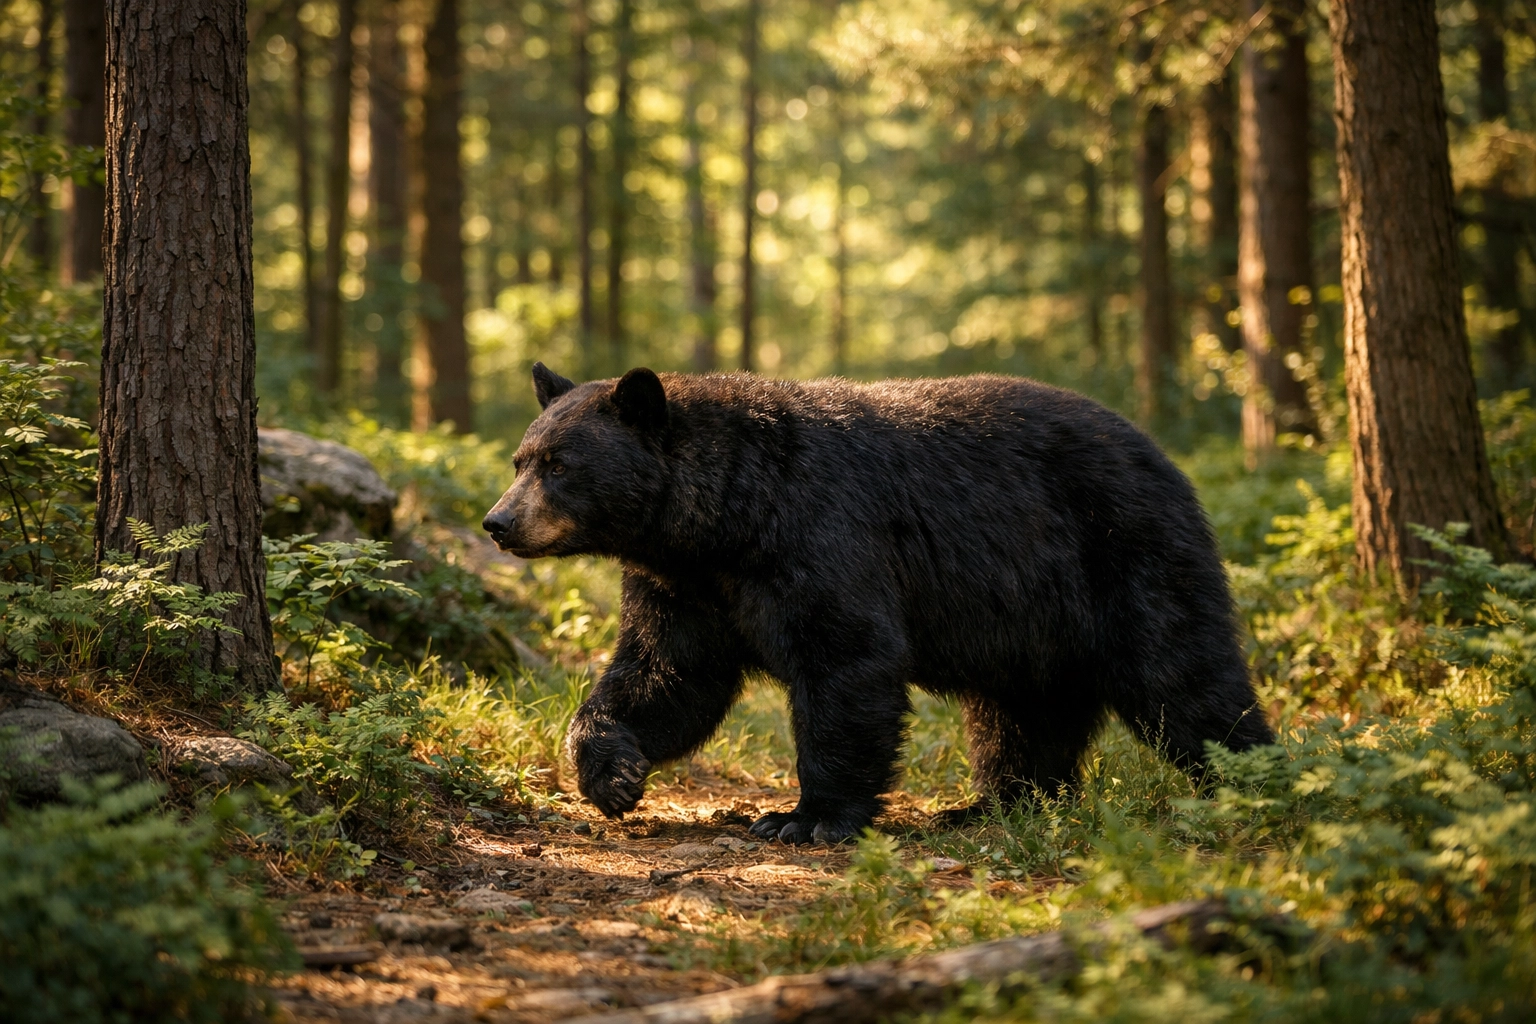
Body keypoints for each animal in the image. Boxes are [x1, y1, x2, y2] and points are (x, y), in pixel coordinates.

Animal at [482, 363, 1274, 845]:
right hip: (1035, 620)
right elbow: (666, 674)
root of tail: (1166, 459)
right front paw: (612, 773)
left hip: (1126, 554)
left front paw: (805, 818)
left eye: (560, 464)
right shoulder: (686, 586)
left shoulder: (821, 535)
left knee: (1184, 678)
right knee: (1023, 714)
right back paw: (992, 803)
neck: (726, 522)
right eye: (520, 459)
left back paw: (1255, 780)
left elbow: (846, 660)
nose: (498, 522)